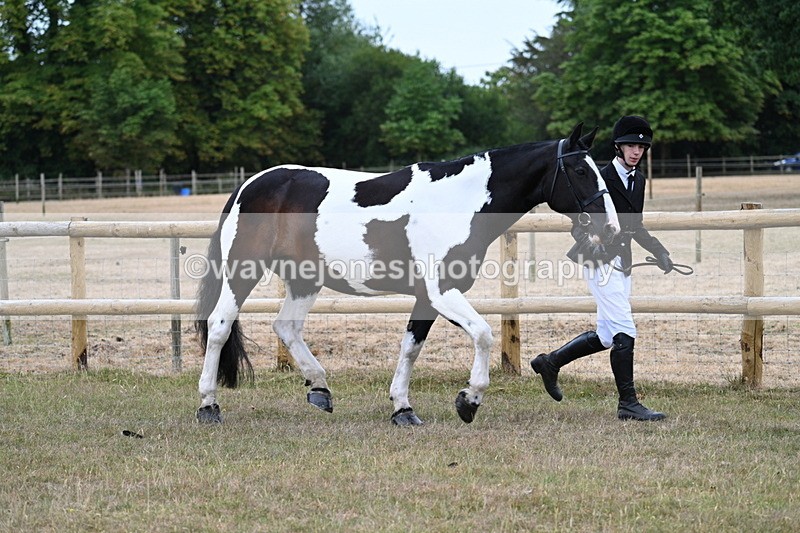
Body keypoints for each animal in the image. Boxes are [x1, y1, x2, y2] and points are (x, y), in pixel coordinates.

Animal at [194, 122, 620, 425]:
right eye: (580, 170)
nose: (611, 228)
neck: (457, 202)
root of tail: (247, 186)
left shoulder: (426, 297)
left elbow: (411, 347)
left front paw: (402, 408)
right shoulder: (441, 290)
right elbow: (482, 334)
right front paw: (469, 400)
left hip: (304, 278)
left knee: (286, 327)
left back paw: (320, 388)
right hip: (242, 270)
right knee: (219, 327)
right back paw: (208, 406)